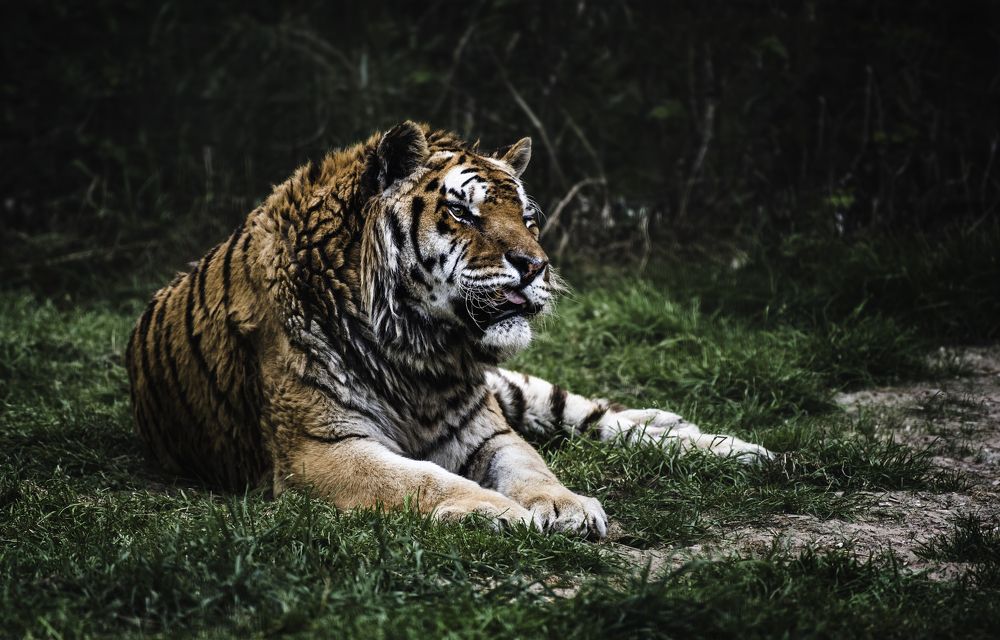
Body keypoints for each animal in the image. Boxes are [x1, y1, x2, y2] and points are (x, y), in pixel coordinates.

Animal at [125, 121, 772, 538]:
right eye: (463, 211)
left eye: (528, 218)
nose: (535, 265)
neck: (419, 353)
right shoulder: (321, 449)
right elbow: (423, 480)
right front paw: (504, 514)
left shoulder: (489, 432)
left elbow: (535, 468)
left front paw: (565, 506)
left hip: (523, 394)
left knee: (602, 415)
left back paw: (740, 449)